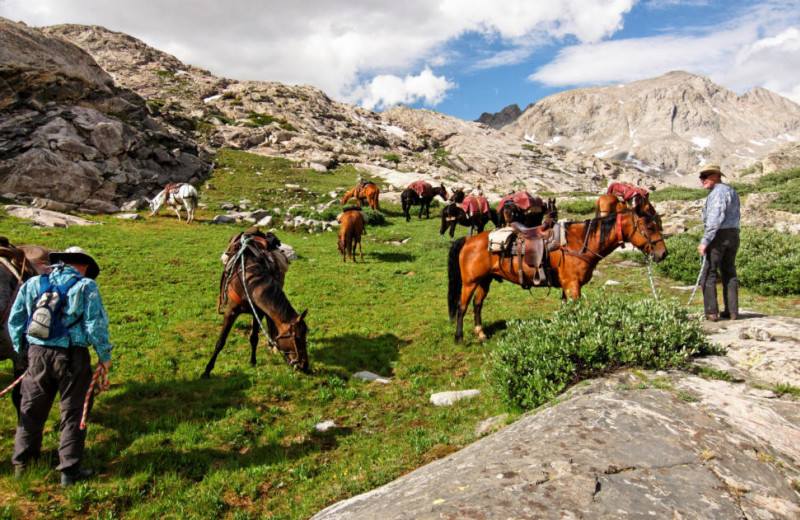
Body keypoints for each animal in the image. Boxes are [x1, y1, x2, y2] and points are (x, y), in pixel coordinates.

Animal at [203, 230, 310, 376]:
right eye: (298, 339)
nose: (305, 365)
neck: (248, 281)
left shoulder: (257, 312)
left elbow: (254, 338)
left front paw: (253, 361)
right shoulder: (231, 311)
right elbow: (221, 341)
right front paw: (207, 370)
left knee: (271, 320)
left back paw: (271, 345)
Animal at [446, 209, 664, 344]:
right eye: (650, 227)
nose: (663, 253)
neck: (579, 243)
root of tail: (469, 240)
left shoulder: (568, 286)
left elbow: (567, 311)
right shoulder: (572, 285)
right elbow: (575, 311)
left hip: (485, 280)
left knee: (477, 305)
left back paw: (481, 334)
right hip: (470, 282)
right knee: (462, 306)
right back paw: (459, 338)